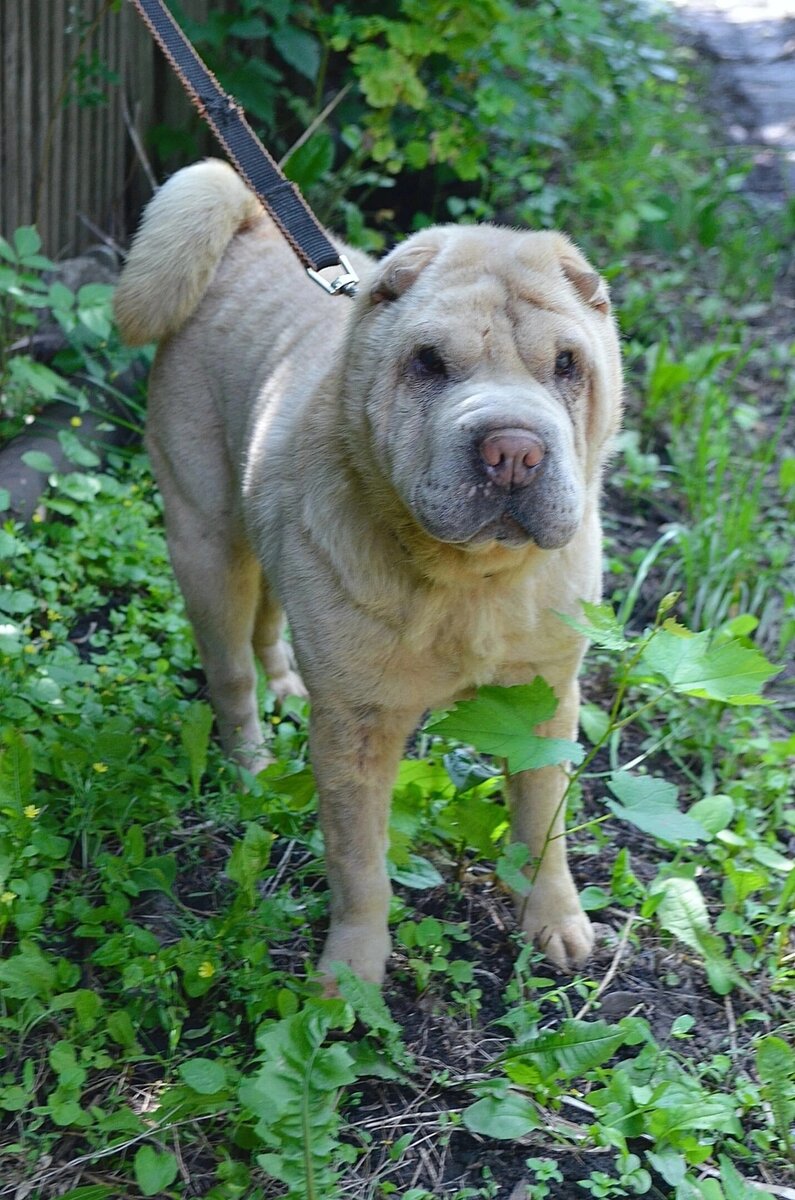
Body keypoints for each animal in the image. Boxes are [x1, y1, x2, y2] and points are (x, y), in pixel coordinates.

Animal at [113, 157, 624, 984]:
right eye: (429, 364)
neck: (472, 582)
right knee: (229, 670)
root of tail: (248, 221)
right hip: (205, 540)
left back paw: (287, 683)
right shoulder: (355, 731)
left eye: (567, 365)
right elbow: (360, 861)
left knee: (269, 617)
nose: (513, 450)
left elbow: (541, 817)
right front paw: (351, 976)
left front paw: (555, 920)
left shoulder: (546, 698)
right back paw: (251, 761)